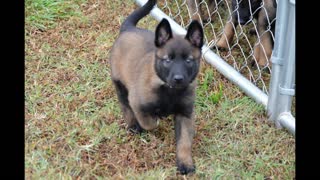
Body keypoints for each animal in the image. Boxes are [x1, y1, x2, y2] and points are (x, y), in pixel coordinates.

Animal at [110, 0, 204, 174]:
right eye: (168, 60)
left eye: (188, 60)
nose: (178, 79)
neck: (170, 91)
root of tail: (129, 28)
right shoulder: (138, 103)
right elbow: (149, 123)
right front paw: (155, 119)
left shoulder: (185, 114)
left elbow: (184, 142)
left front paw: (185, 163)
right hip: (119, 84)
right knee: (125, 105)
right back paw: (133, 126)